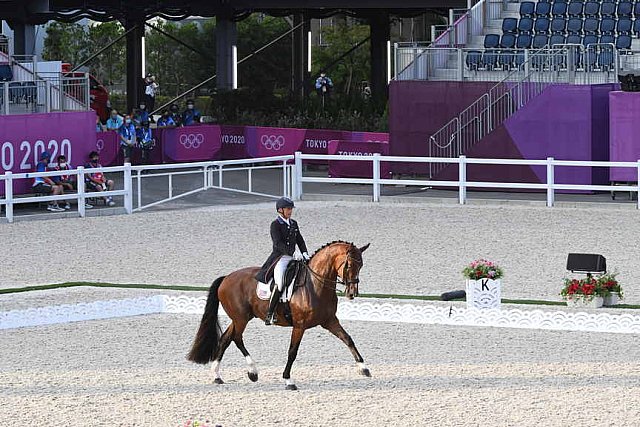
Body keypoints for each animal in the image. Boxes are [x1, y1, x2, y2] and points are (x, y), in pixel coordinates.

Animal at [186, 241, 370, 392]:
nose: (352, 293)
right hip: (241, 319)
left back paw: (217, 376)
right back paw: (252, 372)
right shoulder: (299, 325)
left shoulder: (330, 321)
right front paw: (288, 380)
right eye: (348, 265)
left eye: (361, 265)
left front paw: (364, 368)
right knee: (236, 338)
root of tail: (226, 278)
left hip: (240, 318)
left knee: (226, 338)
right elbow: (292, 352)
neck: (315, 285)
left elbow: (348, 339)